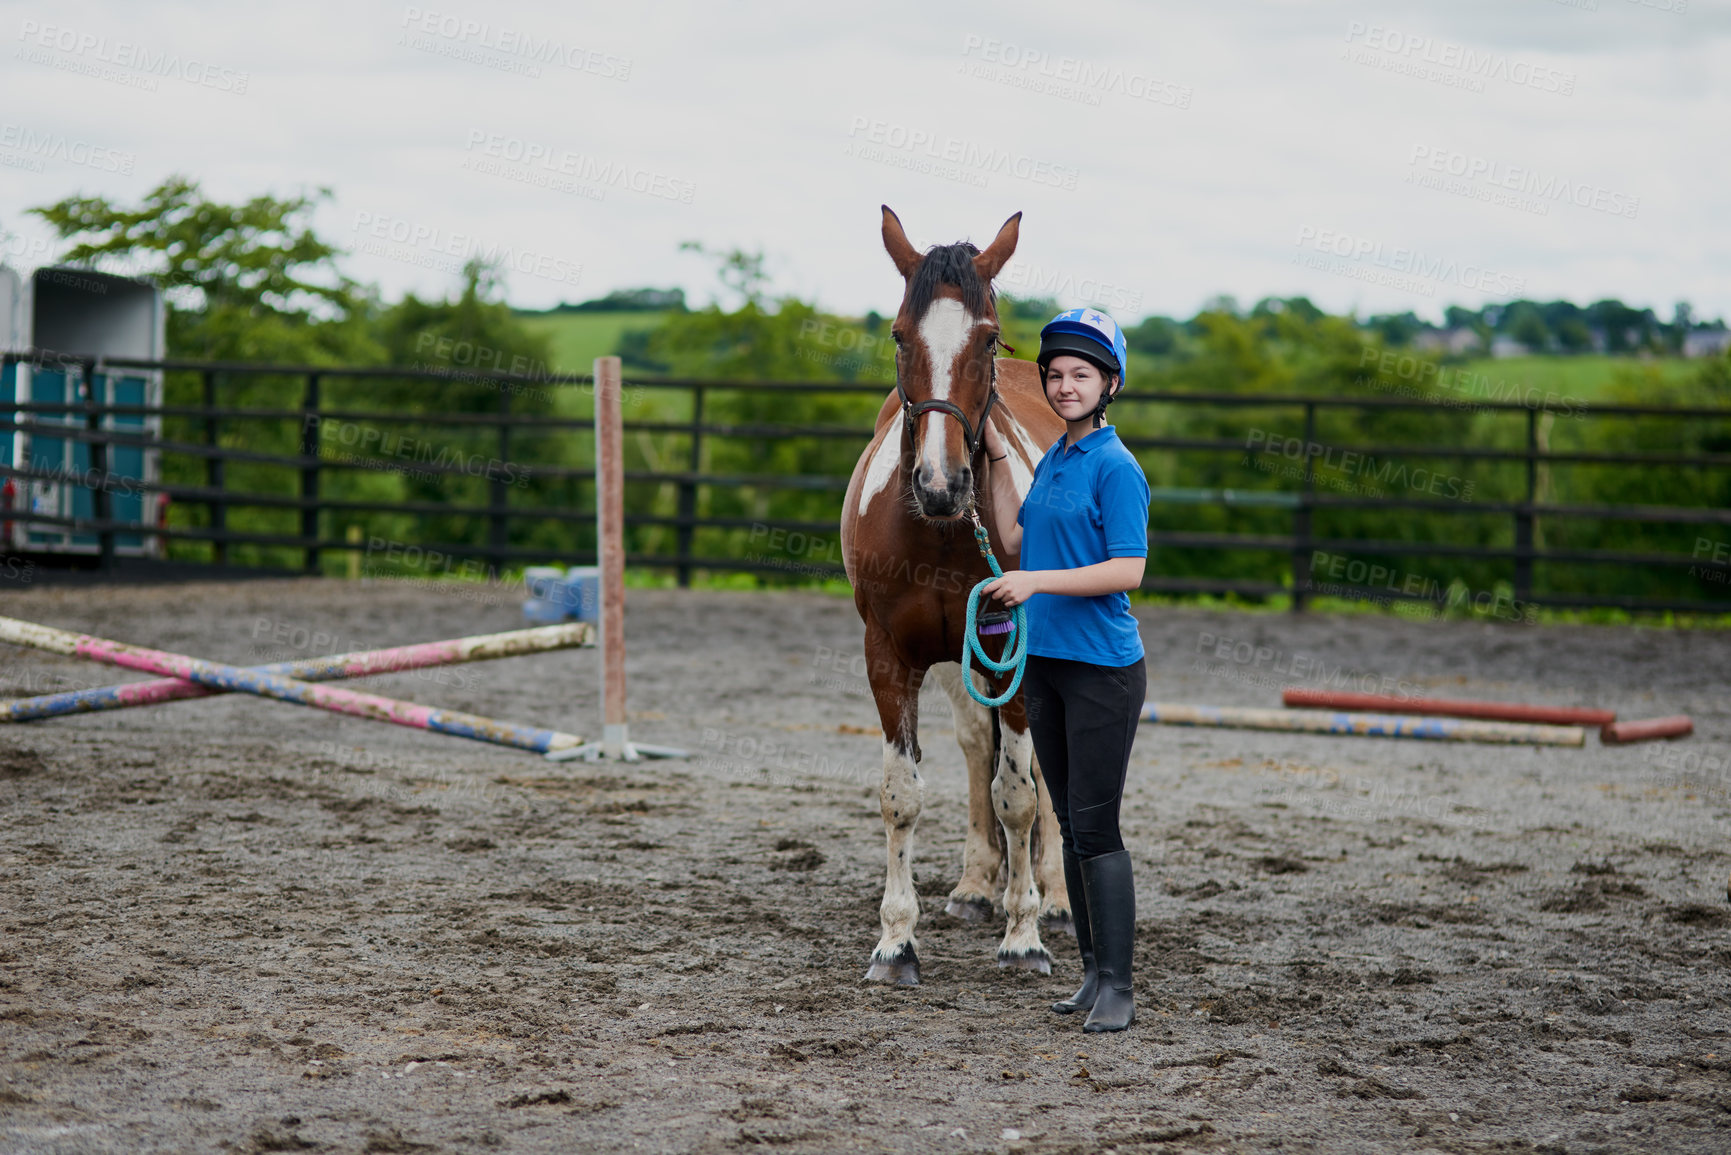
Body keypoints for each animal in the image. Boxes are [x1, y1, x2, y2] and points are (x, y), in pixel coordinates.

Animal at [837, 207, 1066, 983]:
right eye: (898, 334)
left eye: (987, 338)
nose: (941, 484)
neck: (940, 531)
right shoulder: (889, 658)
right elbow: (901, 796)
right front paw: (895, 942)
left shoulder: (1016, 654)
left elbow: (1019, 793)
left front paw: (1025, 933)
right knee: (974, 745)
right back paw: (974, 885)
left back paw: (1055, 895)